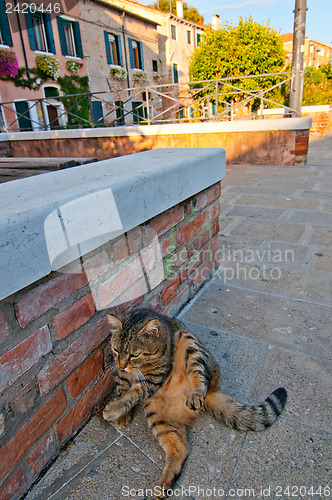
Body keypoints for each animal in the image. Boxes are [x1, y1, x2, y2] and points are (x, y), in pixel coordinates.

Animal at [103, 308, 286, 496]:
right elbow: (122, 389)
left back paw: (196, 394)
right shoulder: (120, 375)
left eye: (134, 354)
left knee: (201, 378)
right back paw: (165, 483)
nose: (122, 364)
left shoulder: (153, 380)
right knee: (180, 448)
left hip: (189, 342)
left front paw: (114, 409)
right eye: (115, 350)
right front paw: (121, 415)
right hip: (158, 416)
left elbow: (134, 393)